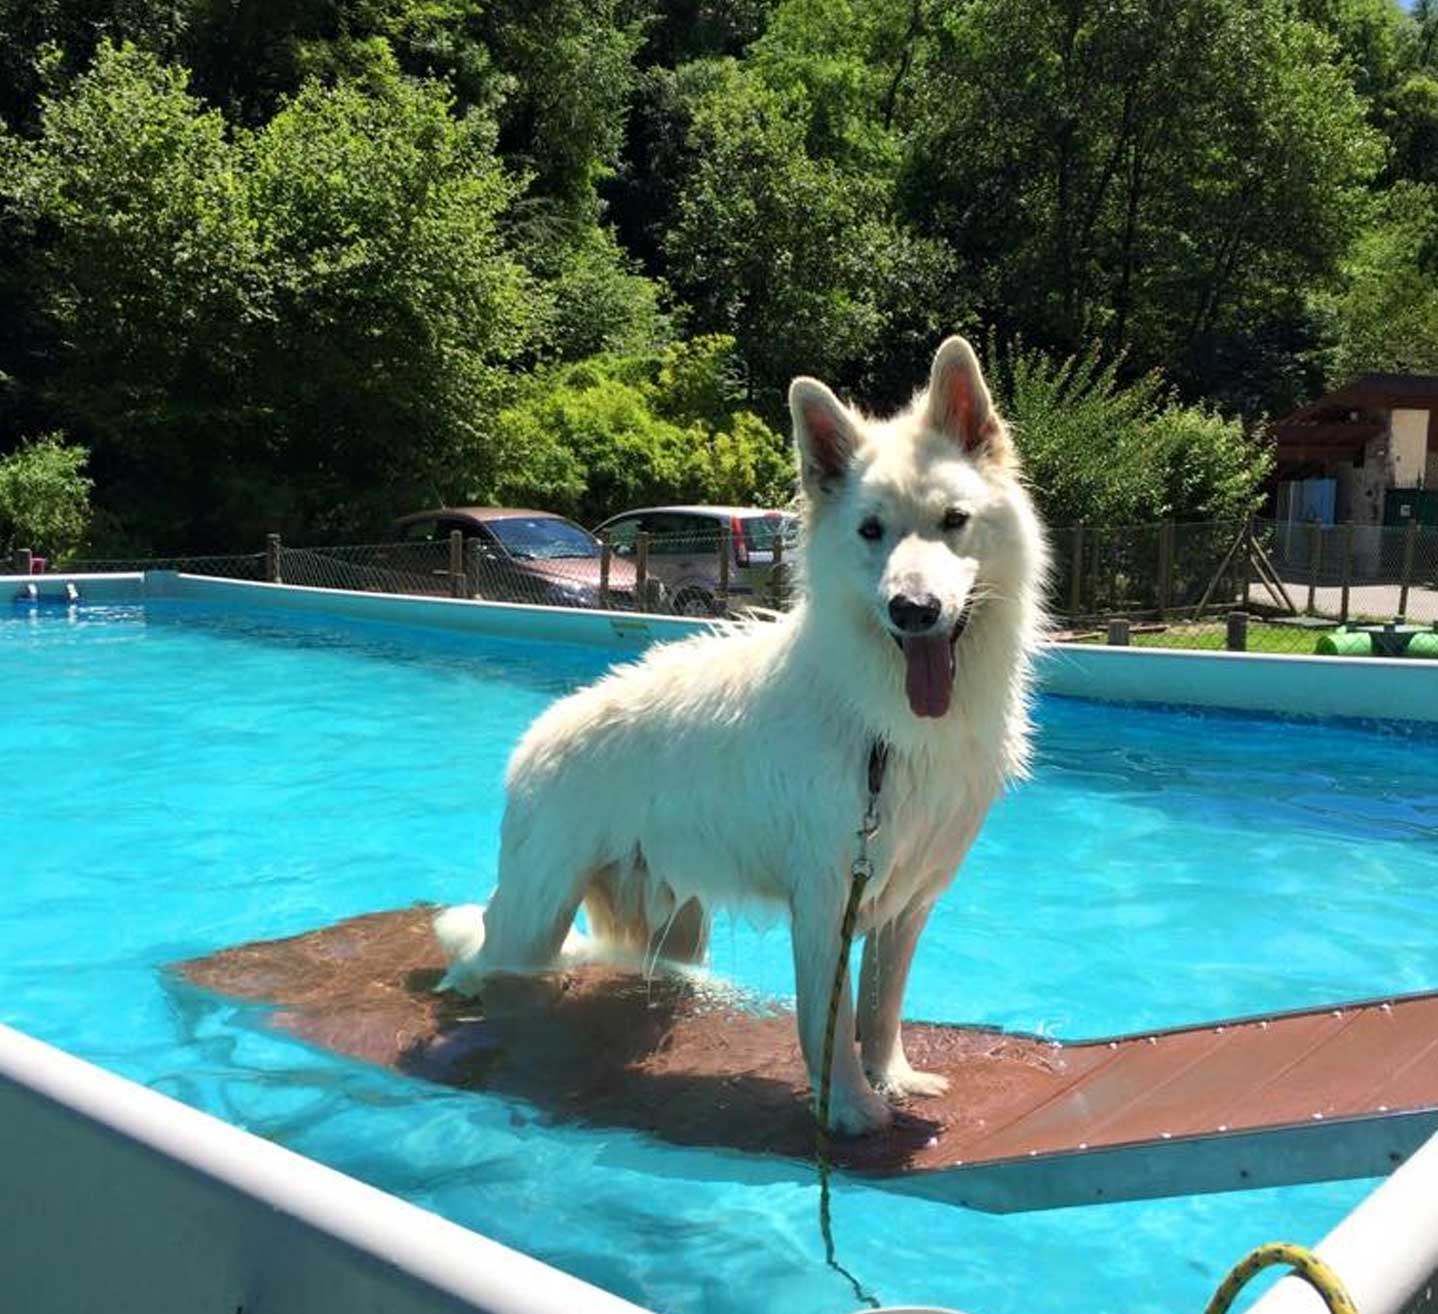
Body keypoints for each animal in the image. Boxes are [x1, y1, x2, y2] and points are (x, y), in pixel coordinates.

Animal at [431, 337, 1052, 1138]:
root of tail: (535, 735)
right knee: (482, 955)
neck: (878, 721)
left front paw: (894, 1079)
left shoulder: (906, 904)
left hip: (674, 923)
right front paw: (849, 1107)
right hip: (536, 921)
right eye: (871, 531)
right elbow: (832, 1024)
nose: (912, 610)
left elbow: (881, 1010)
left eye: (953, 519)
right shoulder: (826, 901)